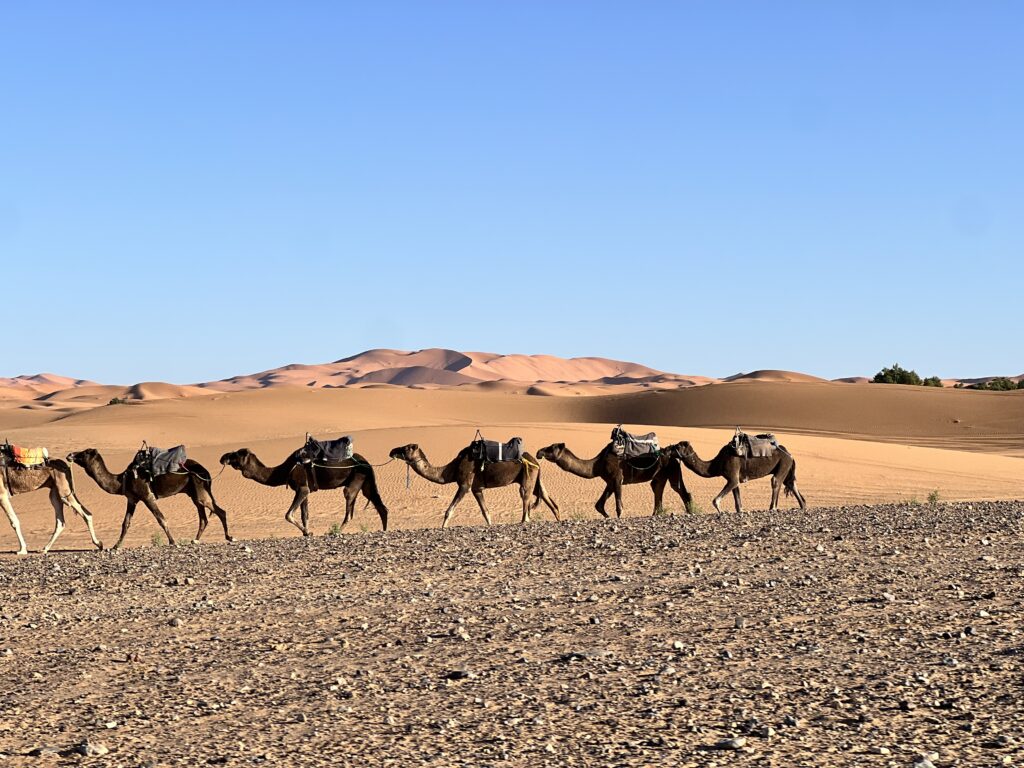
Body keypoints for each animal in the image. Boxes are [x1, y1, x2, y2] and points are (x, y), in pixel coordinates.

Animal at [69, 448, 233, 548]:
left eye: (85, 453)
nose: (70, 454)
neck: (122, 480)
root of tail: (206, 471)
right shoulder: (132, 499)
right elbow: (125, 523)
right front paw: (116, 546)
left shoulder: (147, 497)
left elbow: (161, 519)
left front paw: (173, 542)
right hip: (193, 492)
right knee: (203, 517)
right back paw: (195, 540)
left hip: (199, 488)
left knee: (219, 511)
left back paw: (229, 537)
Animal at [218, 450, 389, 536]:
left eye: (235, 455)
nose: (222, 457)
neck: (284, 470)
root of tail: (367, 463)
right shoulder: (305, 491)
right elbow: (304, 515)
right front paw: (307, 532)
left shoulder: (302, 488)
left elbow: (288, 515)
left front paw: (308, 532)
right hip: (365, 483)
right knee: (381, 506)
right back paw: (384, 530)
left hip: (356, 479)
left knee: (349, 503)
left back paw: (336, 531)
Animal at [387, 444, 561, 528]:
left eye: (407, 447)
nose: (392, 451)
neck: (451, 469)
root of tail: (535, 460)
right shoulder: (477, 489)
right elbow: (486, 512)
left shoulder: (465, 485)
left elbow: (448, 511)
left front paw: (443, 527)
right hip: (535, 478)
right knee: (549, 500)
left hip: (527, 476)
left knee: (525, 498)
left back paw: (524, 521)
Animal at [663, 442, 806, 514]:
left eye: (677, 446)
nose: (665, 449)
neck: (716, 463)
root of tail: (790, 454)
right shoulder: (733, 479)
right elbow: (737, 501)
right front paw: (740, 510)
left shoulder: (732, 477)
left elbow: (715, 501)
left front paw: (721, 512)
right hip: (785, 467)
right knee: (791, 484)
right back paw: (802, 506)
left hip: (783, 463)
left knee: (775, 481)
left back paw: (773, 508)